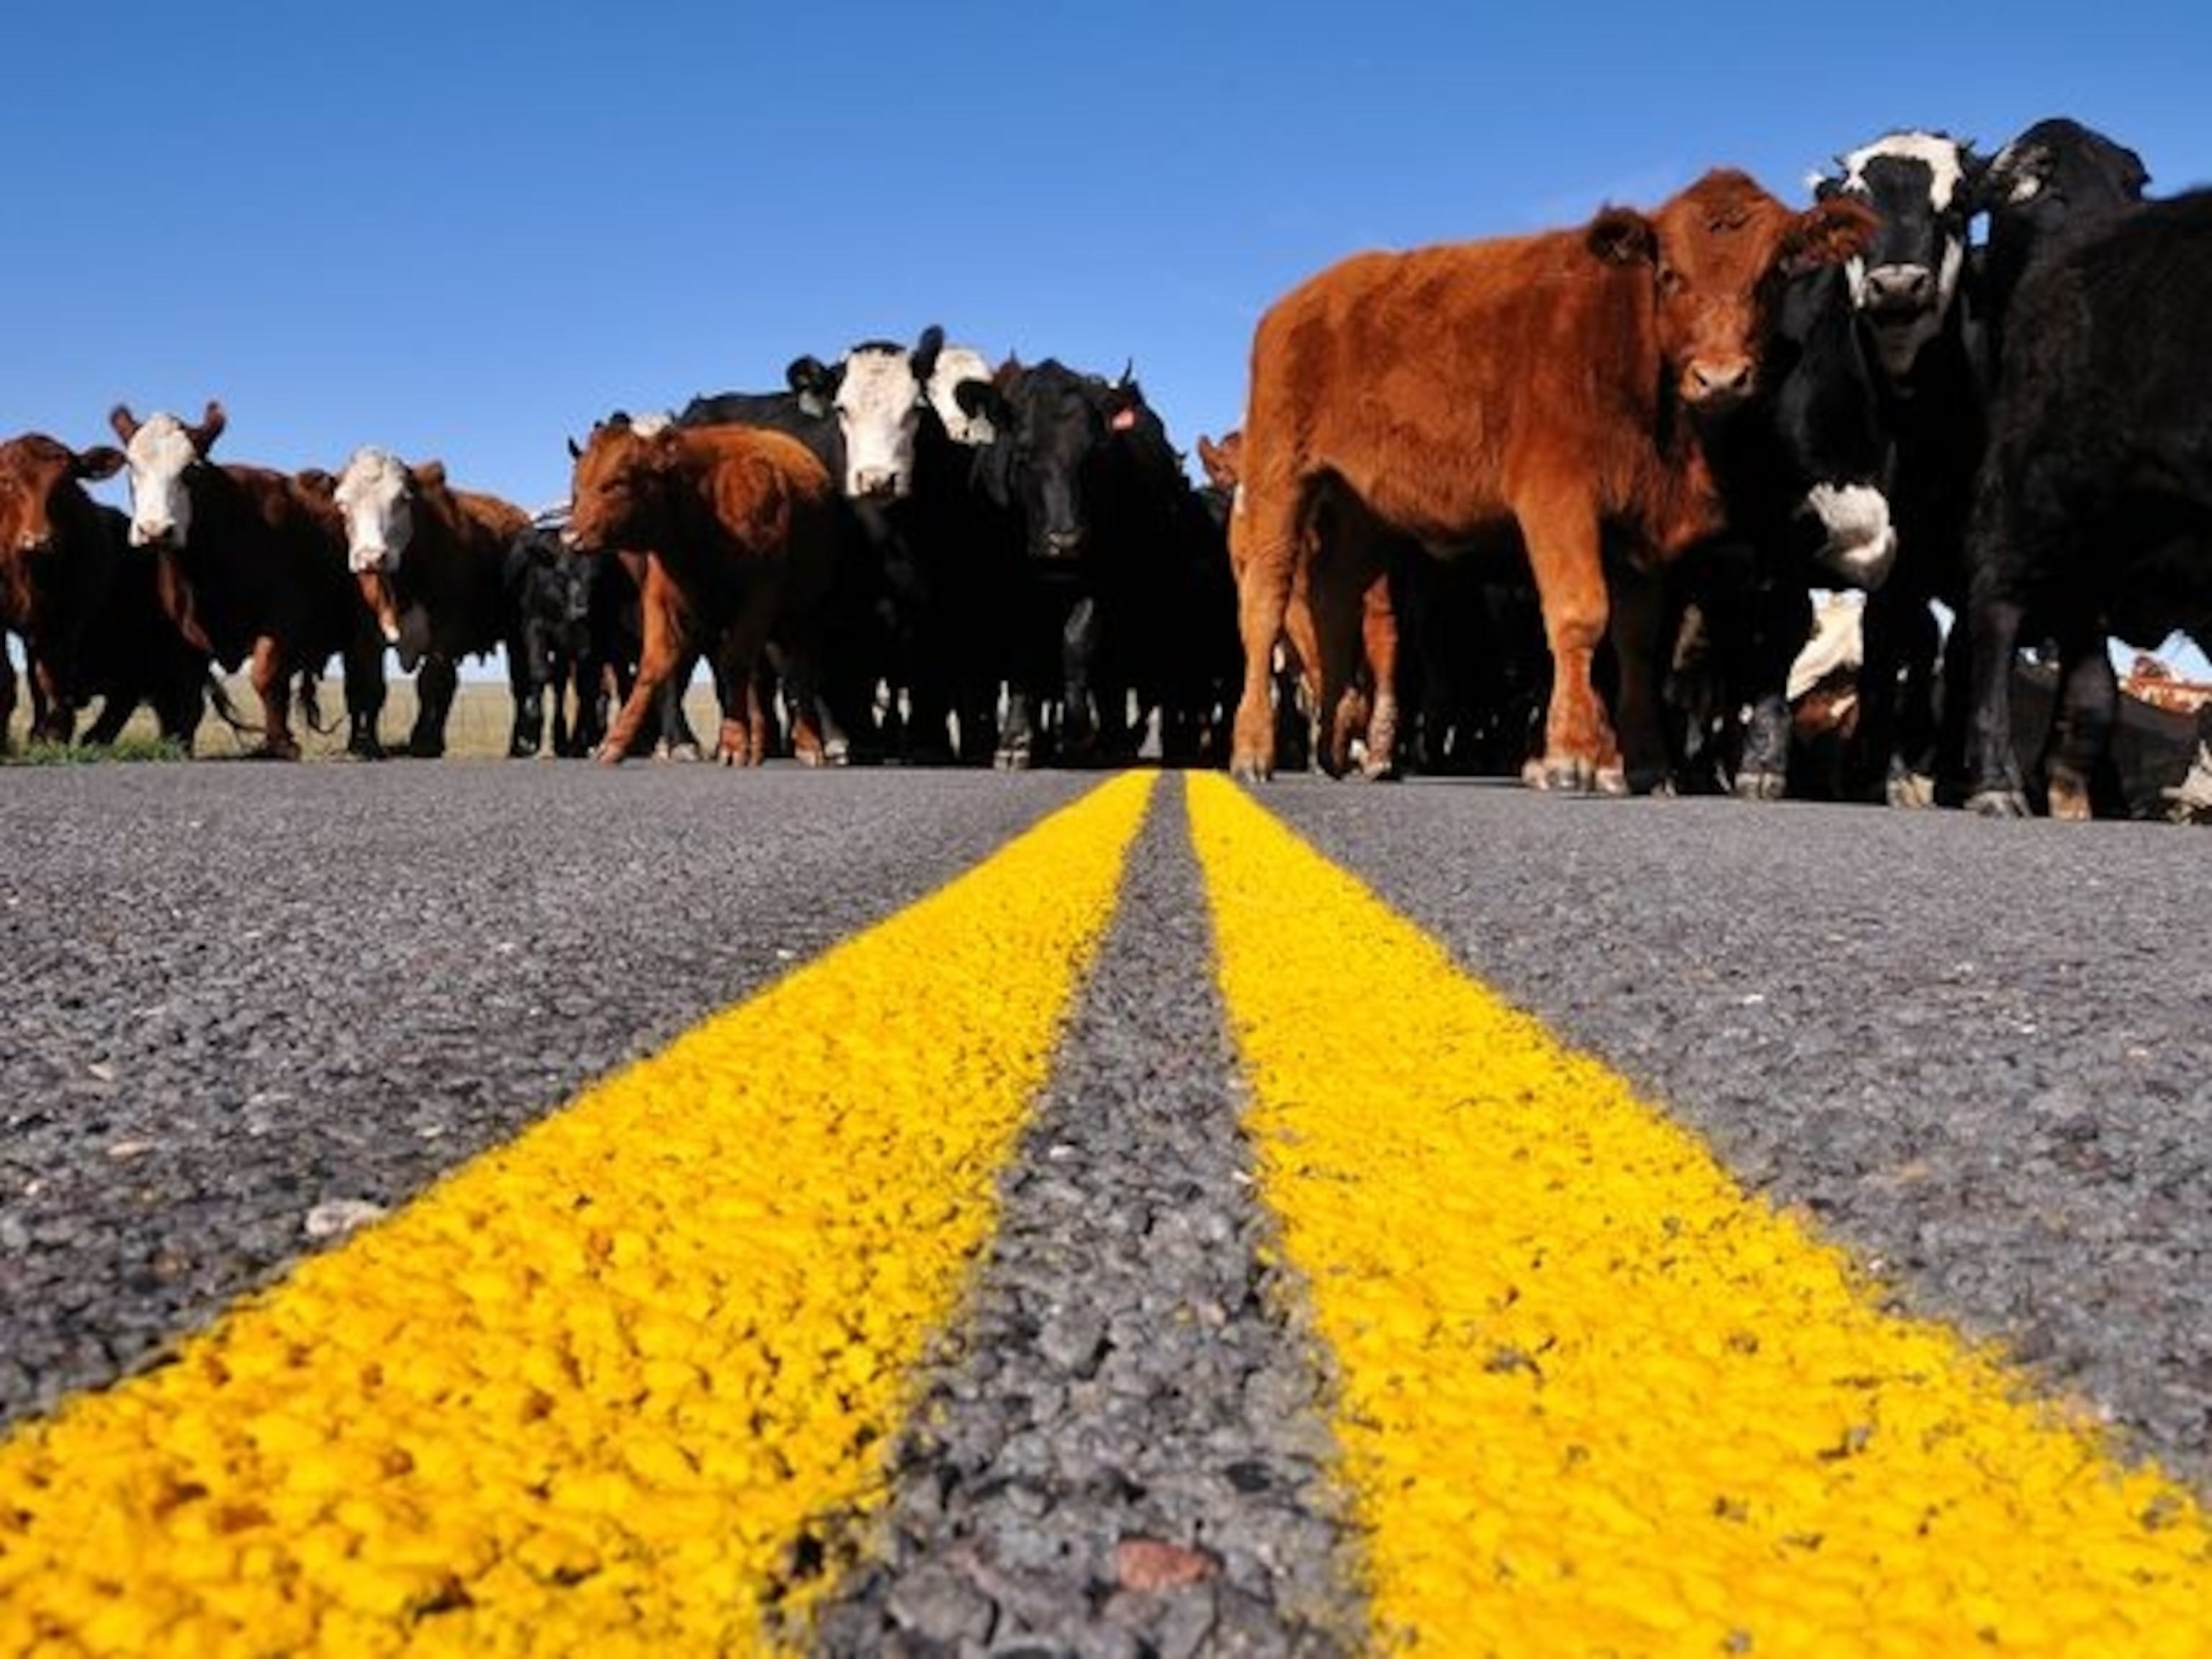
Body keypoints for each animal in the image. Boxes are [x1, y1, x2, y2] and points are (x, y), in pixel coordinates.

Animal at [110, 402, 383, 759]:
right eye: (131, 465)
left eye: (191, 469)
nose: (155, 529)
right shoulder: (185, 633)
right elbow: (188, 693)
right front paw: (182, 746)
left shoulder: (284, 617)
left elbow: (266, 676)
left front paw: (280, 742)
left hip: (368, 633)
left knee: (369, 689)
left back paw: (368, 744)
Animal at [328, 446, 531, 757]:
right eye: (342, 503)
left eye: (403, 498)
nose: (371, 557)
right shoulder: (365, 635)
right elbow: (370, 687)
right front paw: (364, 743)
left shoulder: (446, 630)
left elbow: (431, 682)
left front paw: (423, 742)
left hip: (518, 635)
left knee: (520, 687)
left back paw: (520, 744)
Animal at [563, 414, 841, 767]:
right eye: (576, 488)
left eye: (618, 481)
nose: (569, 536)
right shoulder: (661, 597)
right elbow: (653, 666)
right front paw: (614, 743)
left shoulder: (760, 595)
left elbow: (736, 664)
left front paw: (734, 744)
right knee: (753, 675)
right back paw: (757, 743)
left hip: (798, 613)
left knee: (794, 670)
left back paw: (808, 744)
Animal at [1225, 168, 1876, 787]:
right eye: (1668, 274)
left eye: (1773, 274)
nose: (1721, 378)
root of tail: (1303, 297)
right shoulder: (1556, 498)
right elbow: (1580, 615)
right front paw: (1571, 755)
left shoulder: (1636, 526)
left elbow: (1638, 643)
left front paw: (1646, 764)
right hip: (1280, 475)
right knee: (1265, 604)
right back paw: (1254, 750)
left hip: (1362, 508)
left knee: (1334, 606)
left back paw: (1333, 748)